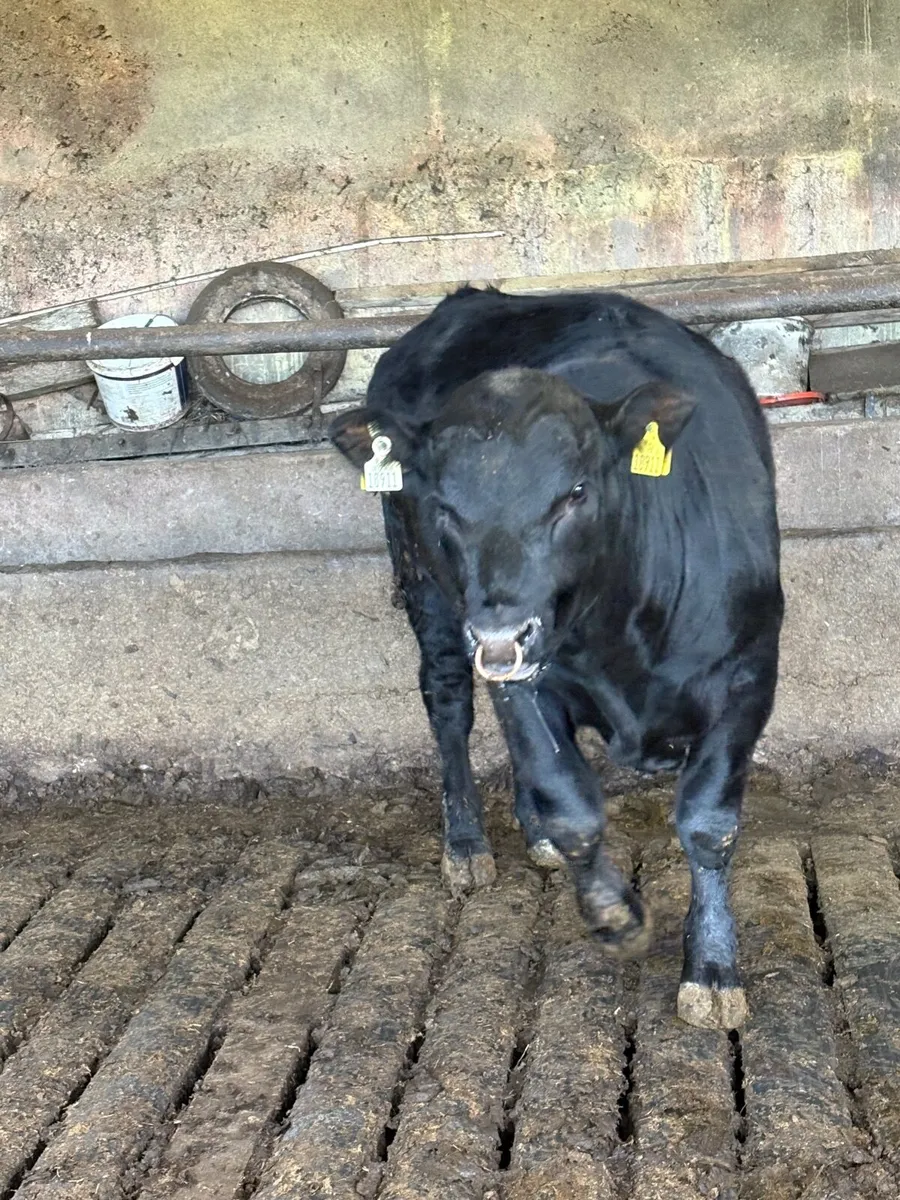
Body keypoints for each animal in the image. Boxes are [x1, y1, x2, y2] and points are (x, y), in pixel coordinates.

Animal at [330, 286, 783, 1030]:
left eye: (574, 492)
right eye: (444, 505)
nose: (500, 632)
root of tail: (467, 299)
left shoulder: (748, 673)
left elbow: (709, 825)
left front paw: (713, 968)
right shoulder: (526, 675)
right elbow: (574, 805)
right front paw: (614, 913)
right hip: (430, 596)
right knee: (448, 704)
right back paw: (467, 845)